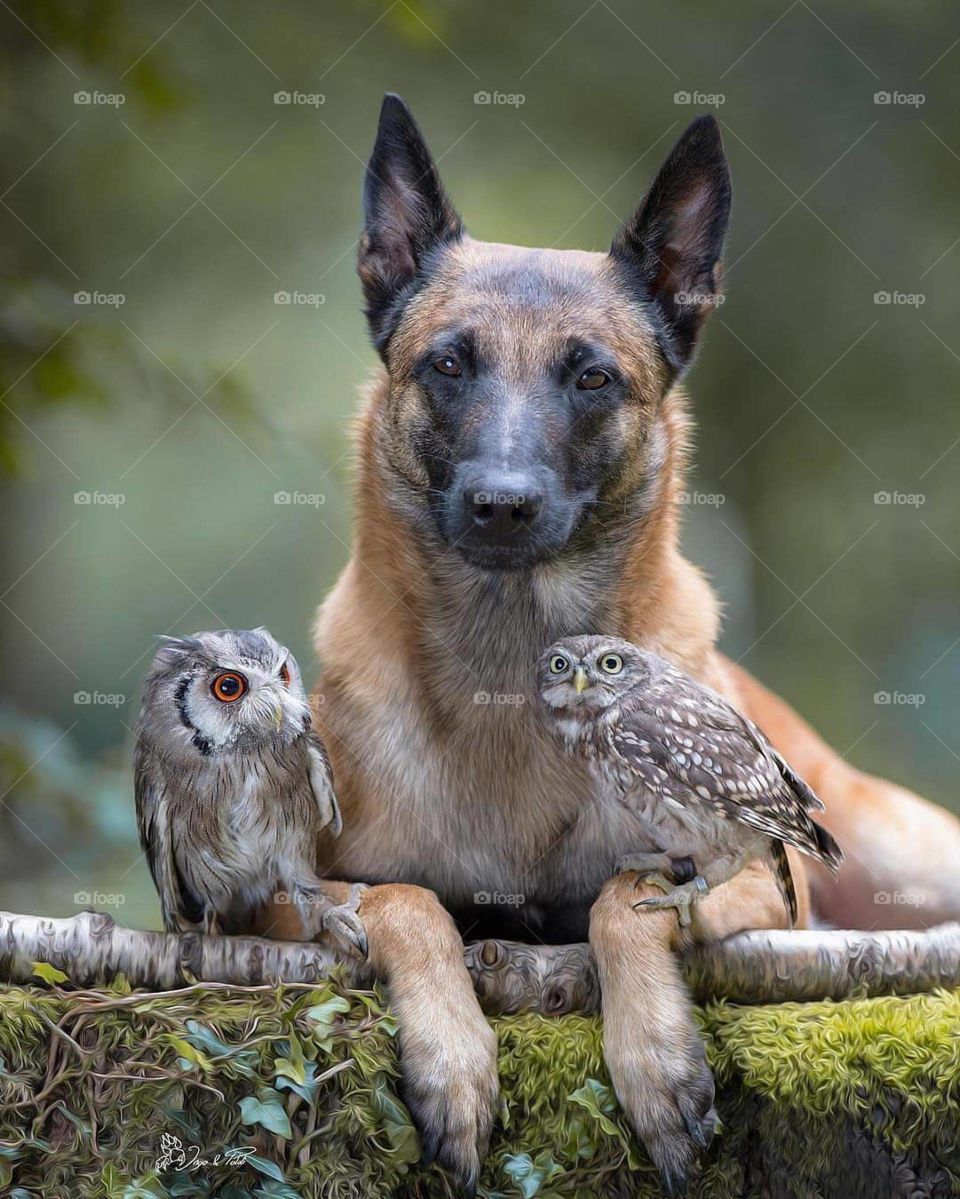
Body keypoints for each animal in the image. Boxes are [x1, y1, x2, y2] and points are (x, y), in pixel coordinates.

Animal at [266, 98, 958, 1194]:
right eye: (448, 363)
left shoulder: (756, 878)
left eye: (592, 376)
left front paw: (655, 1057)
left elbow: (623, 891)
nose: (501, 505)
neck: (513, 685)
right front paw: (453, 1059)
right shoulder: (262, 906)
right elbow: (406, 899)